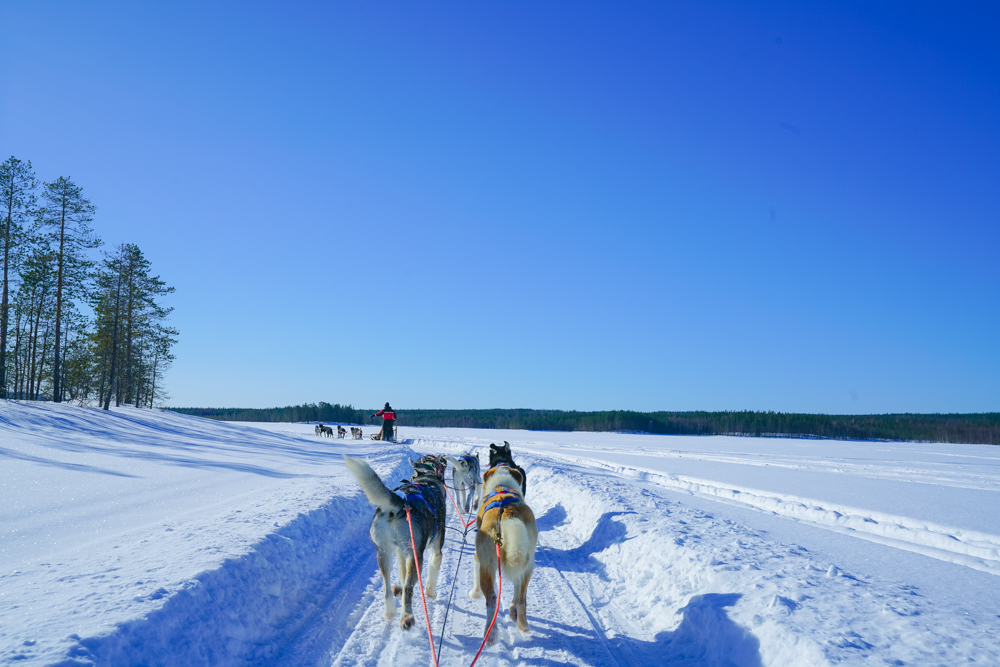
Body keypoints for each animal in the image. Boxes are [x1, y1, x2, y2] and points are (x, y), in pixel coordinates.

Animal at [342, 454, 448, 632]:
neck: (427, 478)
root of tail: (399, 504)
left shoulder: (401, 553)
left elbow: (402, 573)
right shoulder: (435, 551)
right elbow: (431, 574)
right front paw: (430, 592)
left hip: (383, 553)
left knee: (387, 589)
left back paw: (390, 611)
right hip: (416, 557)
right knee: (408, 587)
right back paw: (406, 616)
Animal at [470, 460, 536, 648]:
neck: (502, 487)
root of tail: (506, 514)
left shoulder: (478, 557)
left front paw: (474, 592)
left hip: (487, 566)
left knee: (492, 598)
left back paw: (490, 634)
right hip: (528, 564)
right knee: (521, 598)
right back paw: (521, 623)